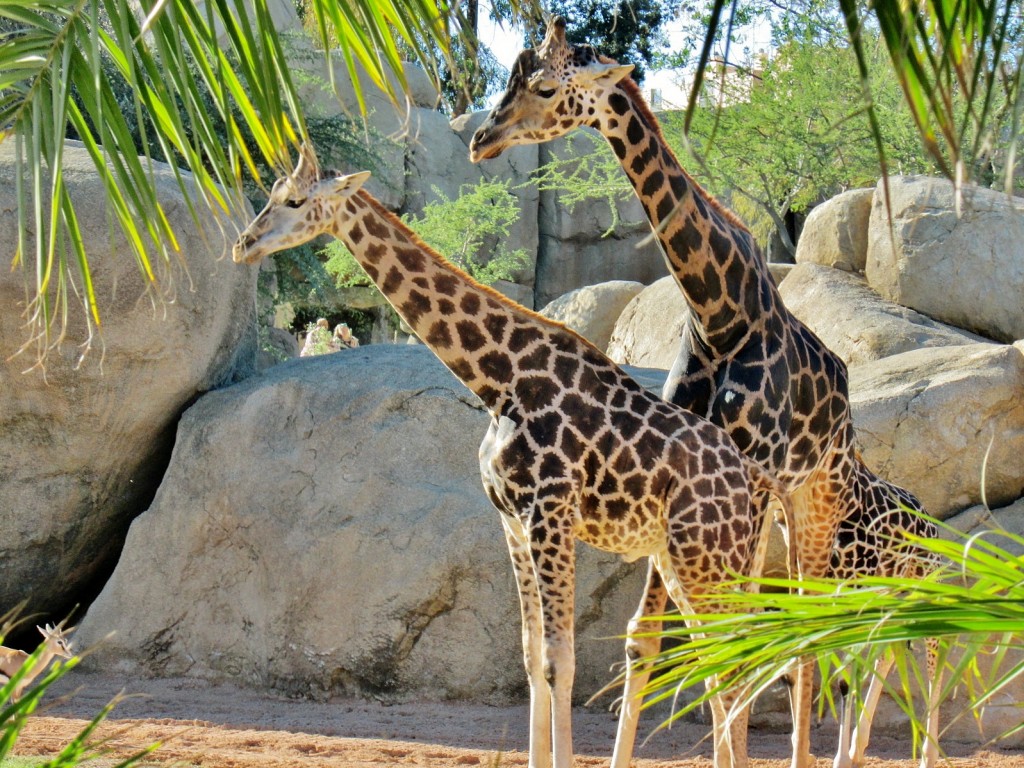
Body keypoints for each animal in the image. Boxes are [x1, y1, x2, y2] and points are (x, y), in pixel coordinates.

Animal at [234, 144, 790, 768]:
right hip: (682, 555)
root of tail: (750, 481)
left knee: (733, 659)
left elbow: (558, 659)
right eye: (273, 194)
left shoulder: (551, 514)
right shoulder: (513, 522)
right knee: (723, 658)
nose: (243, 243)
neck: (500, 382)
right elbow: (529, 655)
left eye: (293, 200)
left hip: (705, 552)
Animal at [468, 18, 933, 768]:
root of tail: (848, 419)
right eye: (510, 78)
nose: (482, 139)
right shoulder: (693, 470)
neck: (718, 310)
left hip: (811, 498)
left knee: (805, 629)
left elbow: (740, 634)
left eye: (543, 87)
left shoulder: (751, 473)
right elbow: (648, 636)